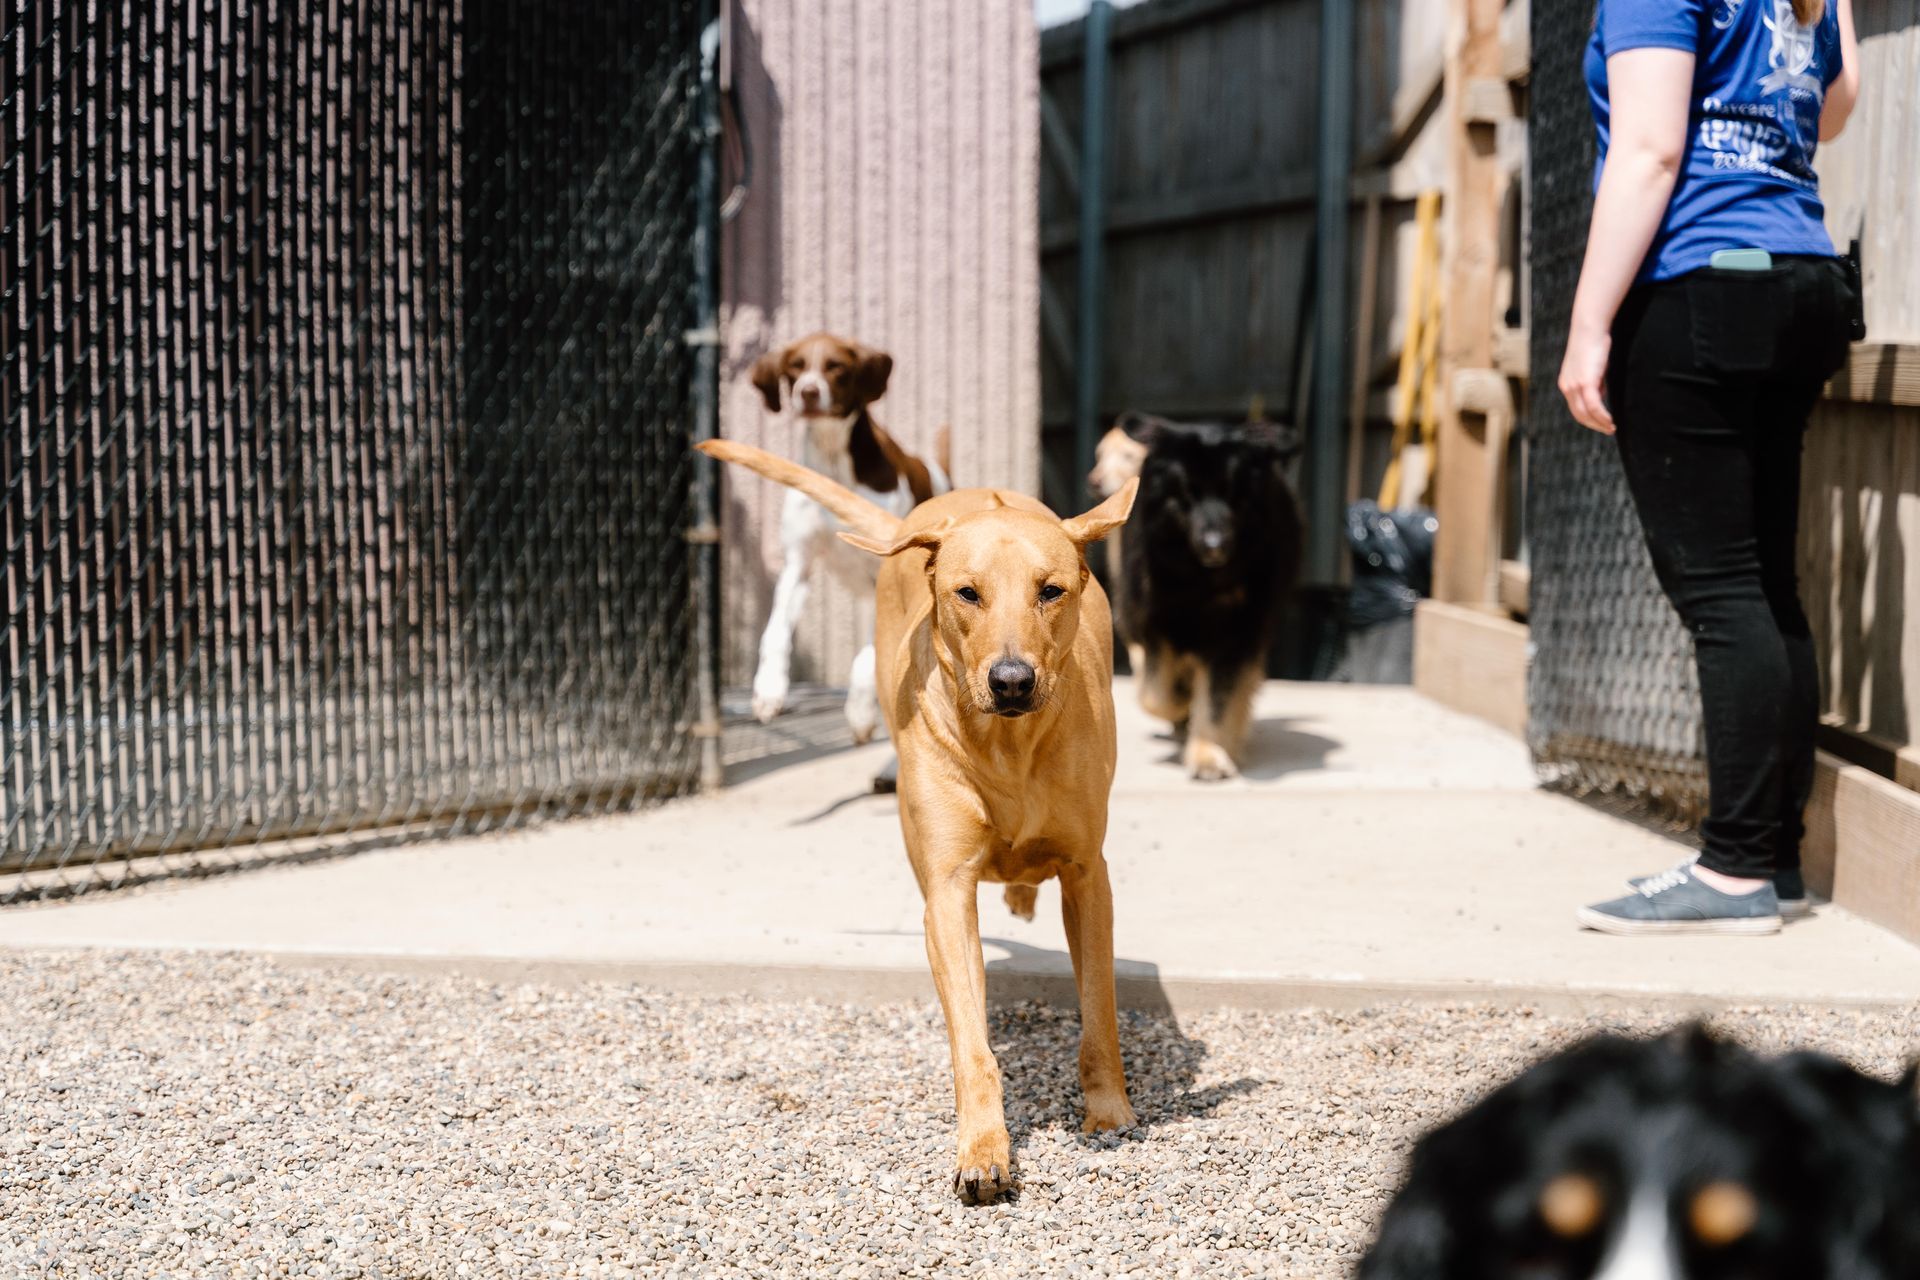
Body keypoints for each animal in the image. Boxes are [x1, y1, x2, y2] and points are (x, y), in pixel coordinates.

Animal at [702, 437, 1136, 1205]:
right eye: (968, 593)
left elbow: (1099, 1010)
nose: (1012, 681)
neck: (1008, 747)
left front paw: (1109, 1110)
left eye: (1050, 590)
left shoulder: (1090, 878)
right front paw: (984, 1151)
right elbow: (971, 1039)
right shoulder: (948, 890)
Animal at [741, 335, 952, 744]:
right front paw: (768, 690)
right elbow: (774, 632)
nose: (808, 392)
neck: (834, 461)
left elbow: (866, 659)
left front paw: (859, 711)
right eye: (795, 366)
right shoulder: (797, 565)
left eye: (836, 366)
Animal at [1113, 416, 1305, 786]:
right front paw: (1179, 702)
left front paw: (1208, 755)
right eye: (1187, 494)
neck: (1199, 579)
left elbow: (1218, 698)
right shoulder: (1155, 619)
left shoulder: (1235, 632)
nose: (1215, 545)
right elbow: (1156, 694)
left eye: (1234, 494)